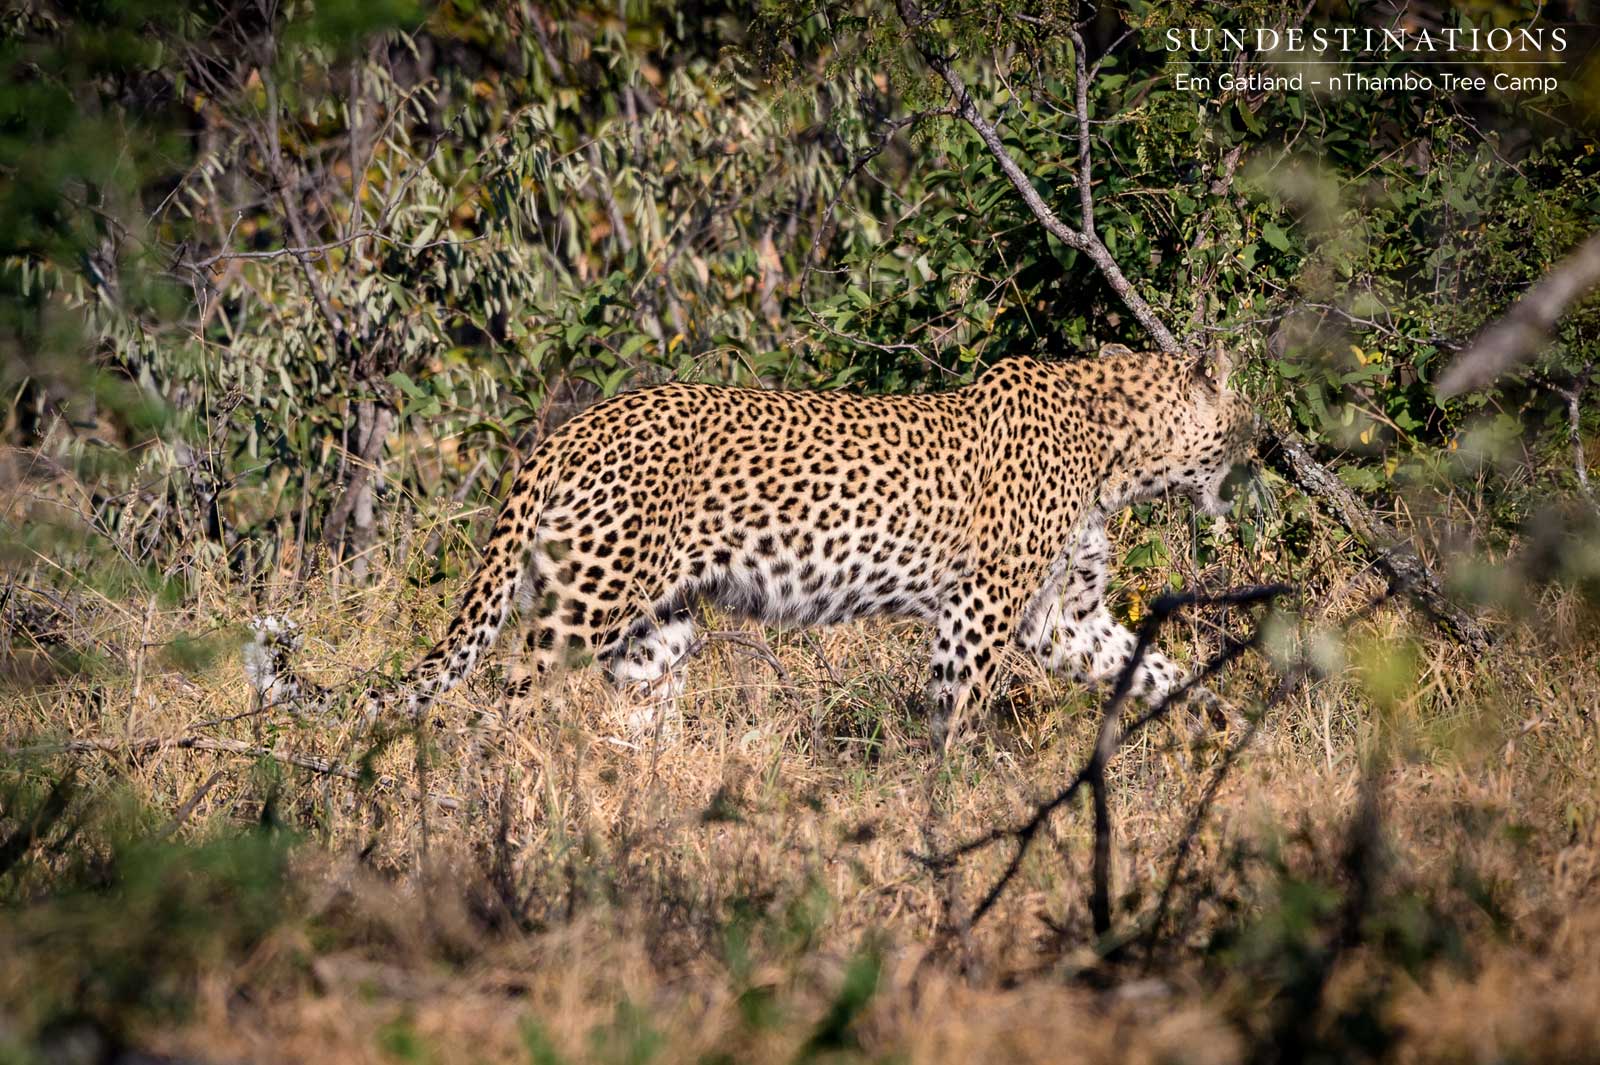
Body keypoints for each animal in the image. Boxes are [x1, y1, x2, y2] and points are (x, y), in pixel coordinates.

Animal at [248, 347, 1256, 747]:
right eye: (1240, 423)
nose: (1257, 461)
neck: (1118, 449)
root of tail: (566, 431)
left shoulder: (1061, 616)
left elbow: (1149, 664)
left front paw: (1224, 720)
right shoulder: (980, 607)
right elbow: (958, 711)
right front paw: (950, 792)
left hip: (656, 629)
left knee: (631, 717)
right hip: (584, 609)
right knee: (503, 701)